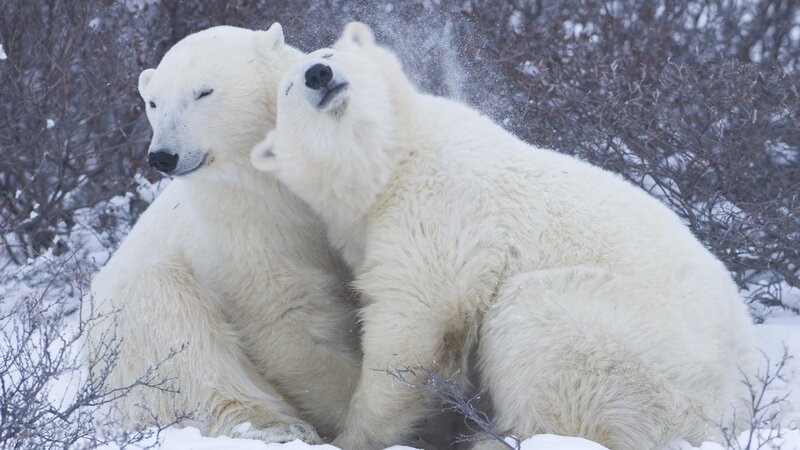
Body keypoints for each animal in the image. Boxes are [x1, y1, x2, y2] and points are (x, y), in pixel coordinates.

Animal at [83, 23, 361, 444]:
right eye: (153, 102)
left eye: (203, 92)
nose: (163, 156)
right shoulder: (244, 226)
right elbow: (289, 318)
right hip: (128, 335)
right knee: (177, 330)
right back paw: (276, 427)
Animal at [250, 22, 758, 450]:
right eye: (289, 88)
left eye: (329, 53)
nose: (318, 74)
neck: (393, 161)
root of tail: (731, 409)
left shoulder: (439, 207)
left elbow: (415, 320)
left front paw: (355, 435)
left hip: (632, 353)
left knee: (536, 329)